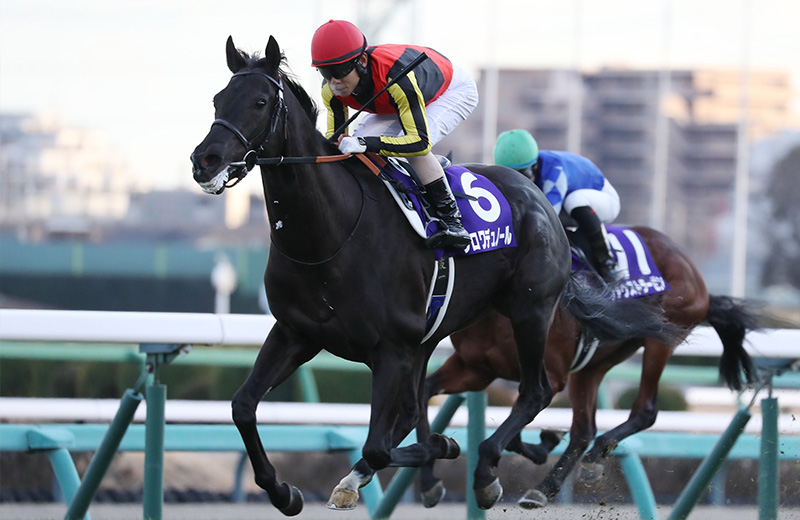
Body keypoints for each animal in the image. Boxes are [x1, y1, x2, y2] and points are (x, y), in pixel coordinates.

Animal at [189, 36, 681, 516]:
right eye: (217, 99)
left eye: (258, 102)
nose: (205, 160)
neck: (331, 235)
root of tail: (538, 197)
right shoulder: (297, 332)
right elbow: (243, 406)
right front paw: (283, 491)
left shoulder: (392, 348)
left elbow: (379, 446)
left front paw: (443, 448)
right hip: (433, 334)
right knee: (418, 409)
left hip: (530, 310)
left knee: (535, 392)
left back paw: (485, 472)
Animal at [418, 224, 761, 509]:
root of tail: (690, 266)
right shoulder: (475, 368)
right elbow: (427, 392)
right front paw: (430, 476)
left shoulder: (551, 375)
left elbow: (524, 410)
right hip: (592, 366)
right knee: (584, 430)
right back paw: (547, 486)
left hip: (661, 339)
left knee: (645, 410)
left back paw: (595, 455)